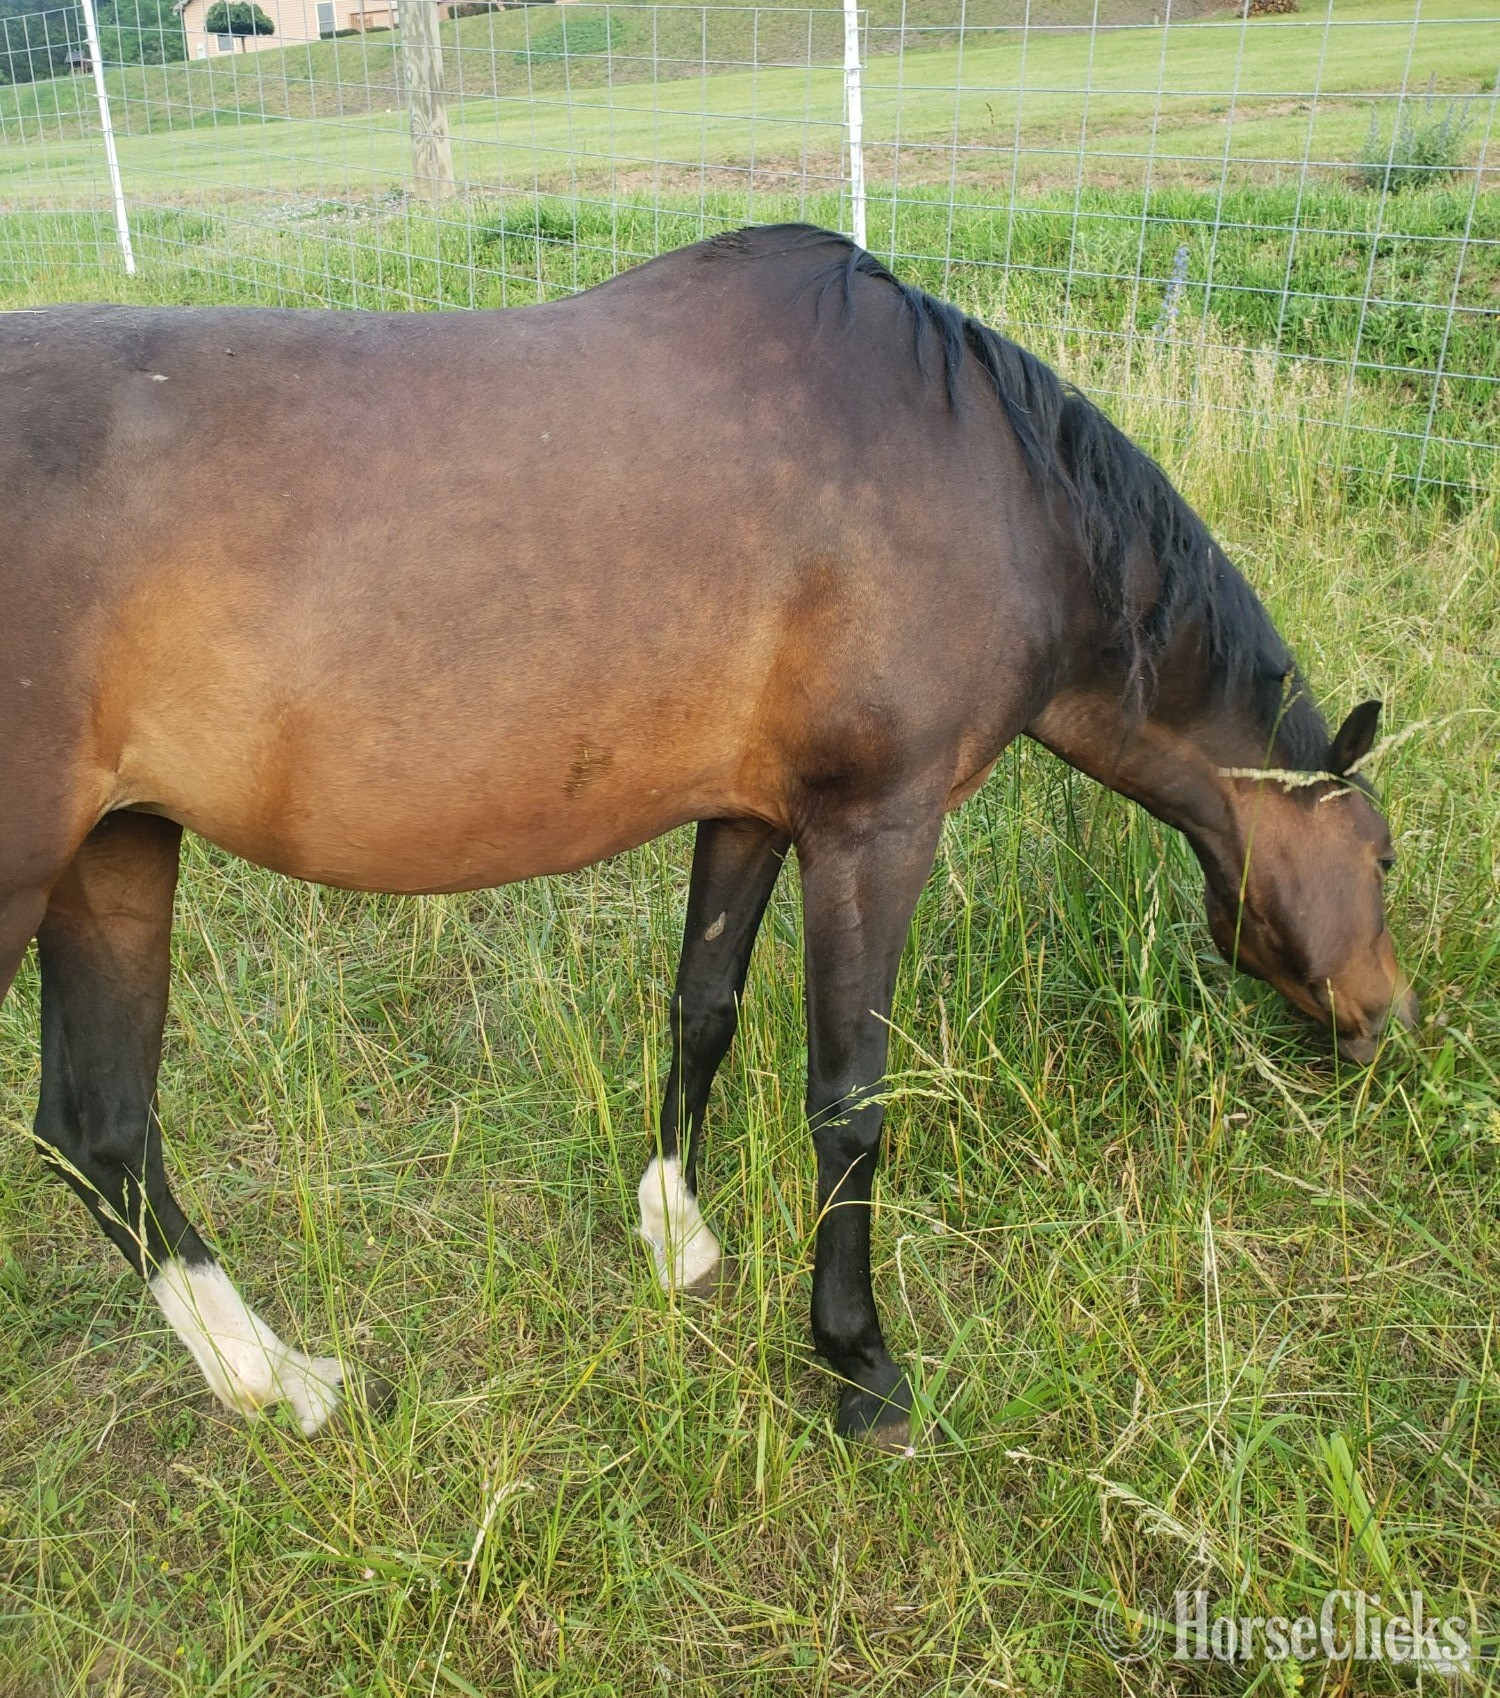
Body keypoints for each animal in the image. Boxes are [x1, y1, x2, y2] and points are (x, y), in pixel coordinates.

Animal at [0, 225, 1416, 1447]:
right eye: (1387, 857)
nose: (1389, 1018)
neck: (988, 480)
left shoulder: (748, 813)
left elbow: (703, 1011)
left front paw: (677, 1232)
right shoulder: (874, 829)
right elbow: (850, 1099)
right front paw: (858, 1361)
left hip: (116, 855)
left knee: (100, 1133)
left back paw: (273, 1377)